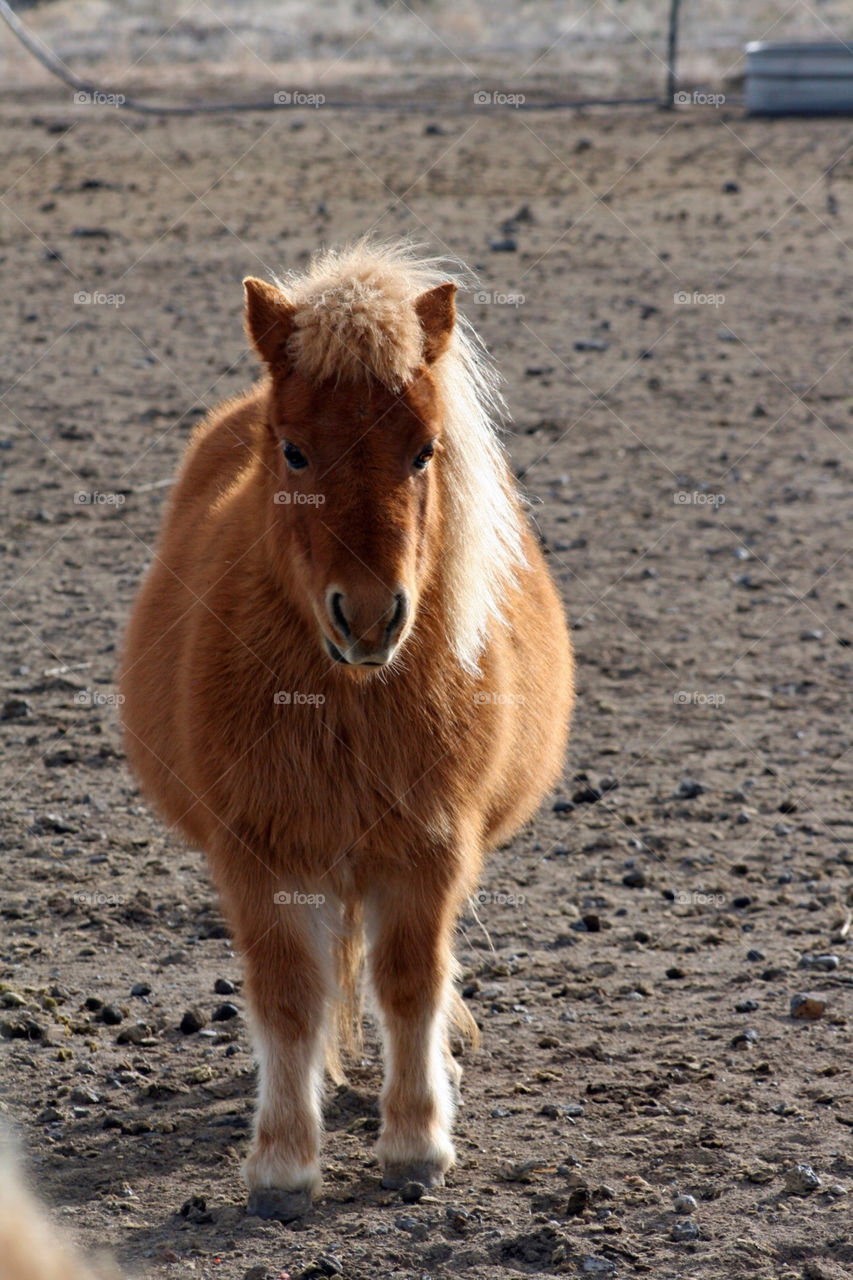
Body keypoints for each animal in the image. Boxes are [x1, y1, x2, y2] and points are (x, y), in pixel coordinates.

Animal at [119, 240, 574, 1220]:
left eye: (424, 450)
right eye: (294, 450)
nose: (368, 617)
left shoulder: (430, 850)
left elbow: (409, 985)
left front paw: (416, 1144)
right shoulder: (260, 855)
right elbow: (289, 998)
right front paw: (284, 1163)